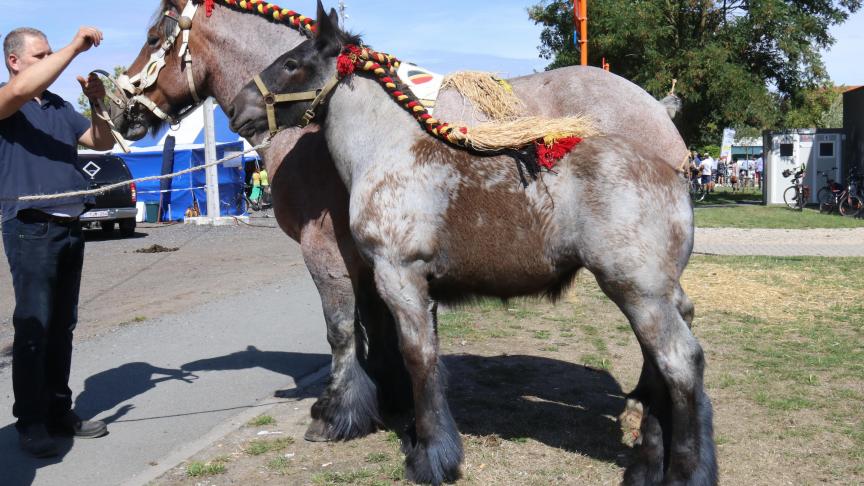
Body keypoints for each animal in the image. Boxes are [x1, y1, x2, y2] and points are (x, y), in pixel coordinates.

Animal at [108, 0, 704, 468]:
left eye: (155, 37)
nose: (125, 115)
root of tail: (667, 140)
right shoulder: (375, 266)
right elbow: (386, 335)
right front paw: (389, 405)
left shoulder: (341, 256)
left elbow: (352, 333)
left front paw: (344, 417)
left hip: (635, 282)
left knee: (676, 352)